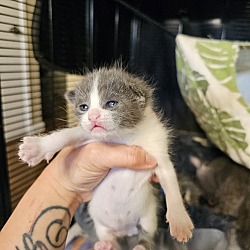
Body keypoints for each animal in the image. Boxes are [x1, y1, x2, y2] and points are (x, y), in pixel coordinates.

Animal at [18, 66, 194, 250]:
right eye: (84, 107)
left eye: (111, 104)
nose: (92, 116)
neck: (122, 136)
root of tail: (125, 230)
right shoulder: (88, 139)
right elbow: (65, 135)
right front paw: (36, 147)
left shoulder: (157, 149)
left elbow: (171, 185)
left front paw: (180, 222)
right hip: (102, 226)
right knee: (111, 239)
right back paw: (106, 245)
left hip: (148, 217)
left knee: (146, 237)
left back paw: (139, 245)